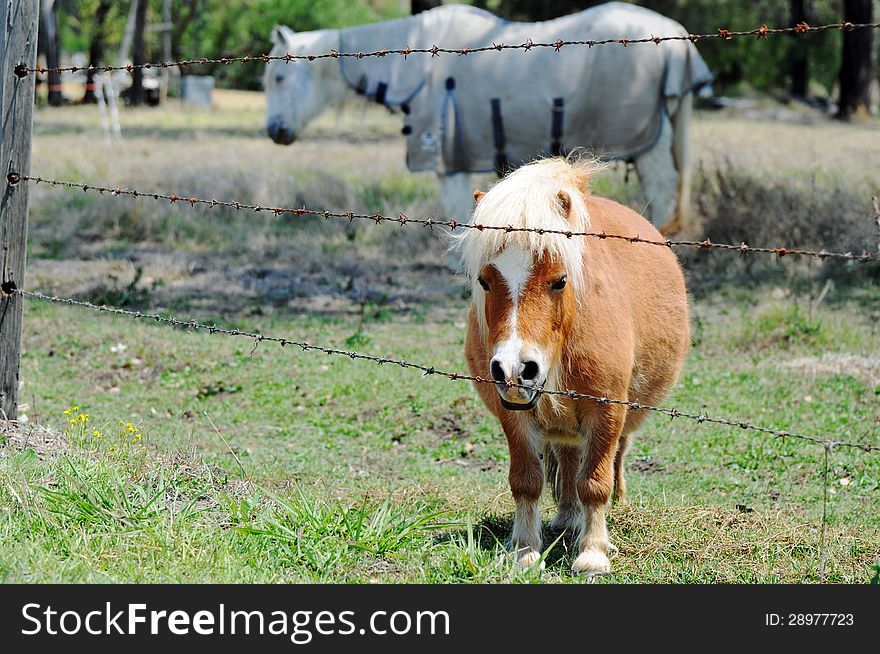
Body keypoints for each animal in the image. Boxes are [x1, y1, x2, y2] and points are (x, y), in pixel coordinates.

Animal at [262, 3, 708, 234]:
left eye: (279, 77)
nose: (274, 132)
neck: (418, 63)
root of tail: (676, 40)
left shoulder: (449, 160)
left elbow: (460, 215)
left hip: (649, 143)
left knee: (662, 188)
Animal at [458, 158, 692, 576]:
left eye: (559, 281)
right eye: (484, 281)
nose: (515, 369)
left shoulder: (607, 410)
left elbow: (594, 482)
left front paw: (593, 553)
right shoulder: (513, 415)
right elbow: (527, 481)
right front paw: (526, 551)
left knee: (614, 457)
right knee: (568, 460)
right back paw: (568, 518)